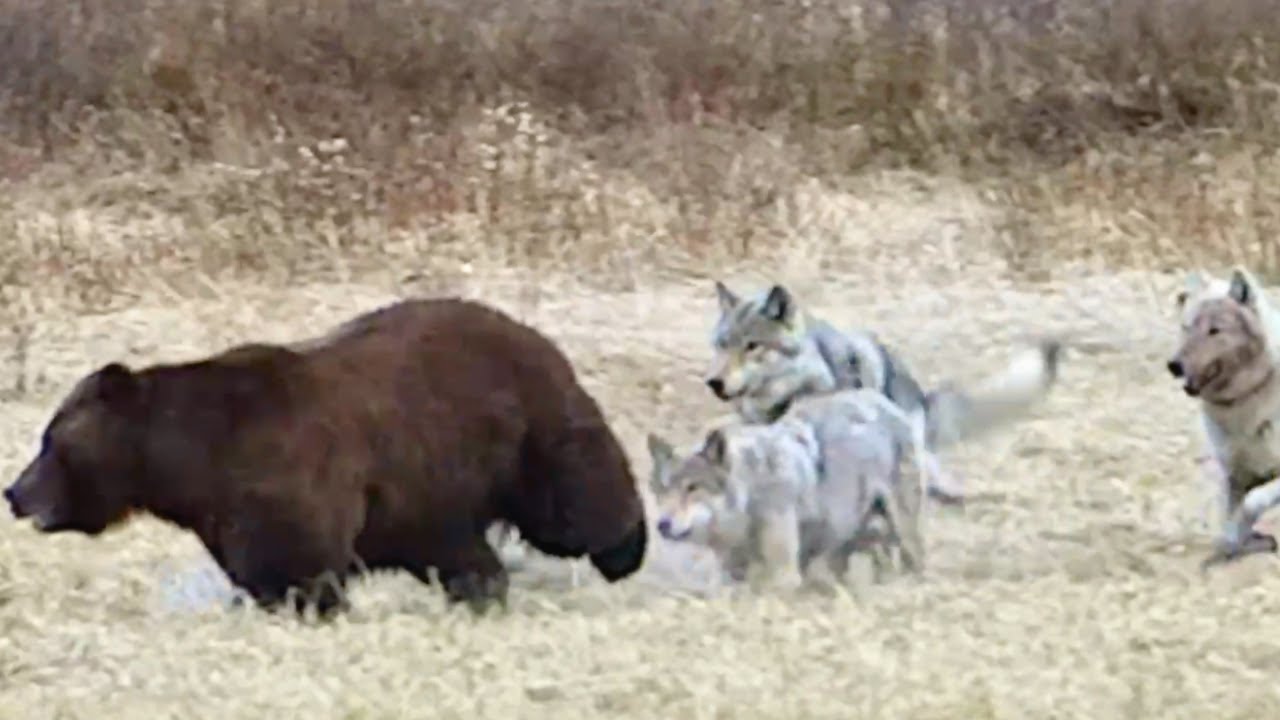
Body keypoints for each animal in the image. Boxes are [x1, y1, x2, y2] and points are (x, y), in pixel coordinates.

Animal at [2, 297, 649, 617]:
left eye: (50, 441)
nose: (14, 492)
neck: (186, 460)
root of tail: (528, 330)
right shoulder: (227, 507)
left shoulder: (281, 473)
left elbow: (294, 560)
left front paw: (307, 605)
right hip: (429, 481)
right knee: (459, 548)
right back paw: (483, 591)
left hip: (525, 428)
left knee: (574, 503)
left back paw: (625, 548)